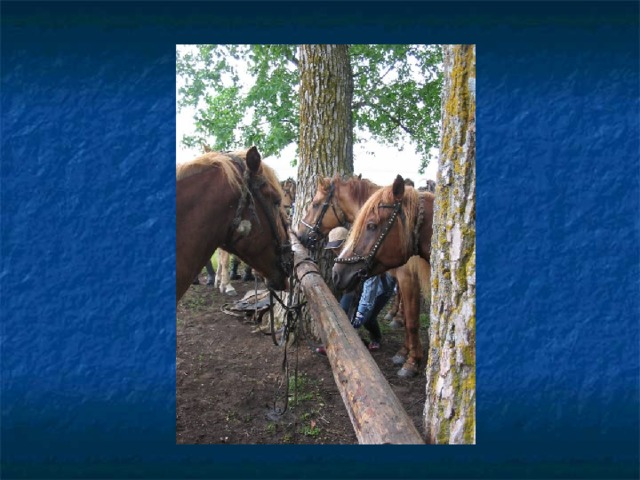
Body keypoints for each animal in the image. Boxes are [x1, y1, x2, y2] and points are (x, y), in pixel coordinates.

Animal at [298, 174, 430, 376]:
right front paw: (404, 352)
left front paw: (411, 361)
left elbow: (412, 321)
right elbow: (409, 318)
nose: (300, 235)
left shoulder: (408, 278)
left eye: (315, 204)